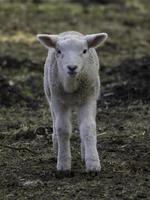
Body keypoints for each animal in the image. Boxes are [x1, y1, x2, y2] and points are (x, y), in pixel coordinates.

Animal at [37, 31, 108, 172]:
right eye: (59, 51)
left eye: (84, 51)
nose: (72, 67)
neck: (71, 87)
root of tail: (70, 31)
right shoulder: (59, 102)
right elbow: (62, 129)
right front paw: (63, 164)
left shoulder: (88, 99)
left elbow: (88, 127)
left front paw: (93, 163)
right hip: (50, 95)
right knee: (54, 121)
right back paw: (56, 146)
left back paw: (84, 152)